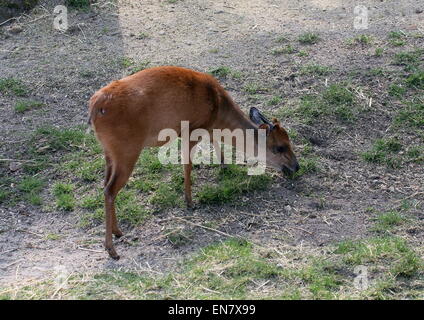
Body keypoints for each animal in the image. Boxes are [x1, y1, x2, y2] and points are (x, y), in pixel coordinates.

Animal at [88, 66, 300, 258]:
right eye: (280, 147)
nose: (296, 167)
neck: (218, 108)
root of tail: (95, 106)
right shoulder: (192, 129)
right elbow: (187, 165)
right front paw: (190, 201)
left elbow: (214, 141)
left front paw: (224, 165)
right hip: (127, 150)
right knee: (110, 190)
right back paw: (112, 250)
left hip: (109, 152)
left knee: (105, 185)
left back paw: (118, 232)